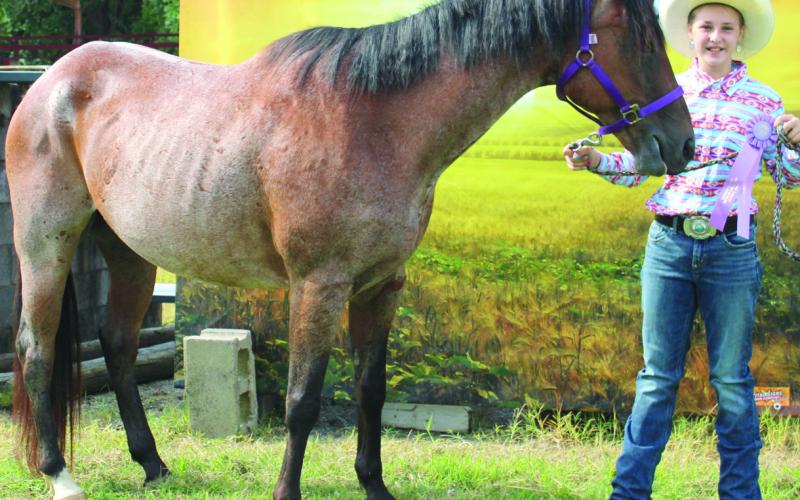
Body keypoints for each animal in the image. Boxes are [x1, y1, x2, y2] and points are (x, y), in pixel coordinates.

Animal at [6, 0, 694, 498]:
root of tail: (52, 81)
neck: (375, 122)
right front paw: (288, 492)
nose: (683, 144)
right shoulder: (319, 285)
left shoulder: (382, 285)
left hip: (128, 252)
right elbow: (303, 401)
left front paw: (375, 485)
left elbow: (370, 389)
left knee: (119, 346)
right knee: (37, 349)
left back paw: (152, 464)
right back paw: (60, 475)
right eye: (638, 38)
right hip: (46, 246)